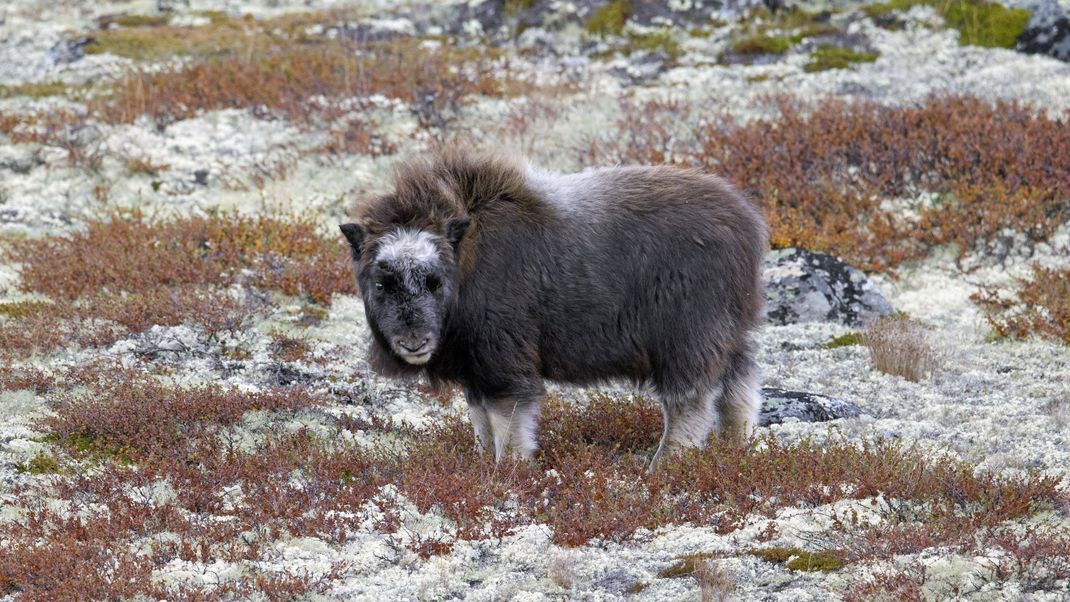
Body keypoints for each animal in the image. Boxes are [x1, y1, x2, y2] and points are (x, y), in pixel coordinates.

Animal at [342, 148, 770, 468]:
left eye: (434, 281)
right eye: (381, 284)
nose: (413, 342)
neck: (466, 259)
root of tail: (747, 224)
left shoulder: (503, 361)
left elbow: (507, 420)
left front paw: (509, 469)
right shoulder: (475, 369)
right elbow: (481, 422)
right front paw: (483, 465)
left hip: (687, 340)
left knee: (690, 400)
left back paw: (665, 464)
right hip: (730, 334)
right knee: (739, 383)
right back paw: (736, 449)